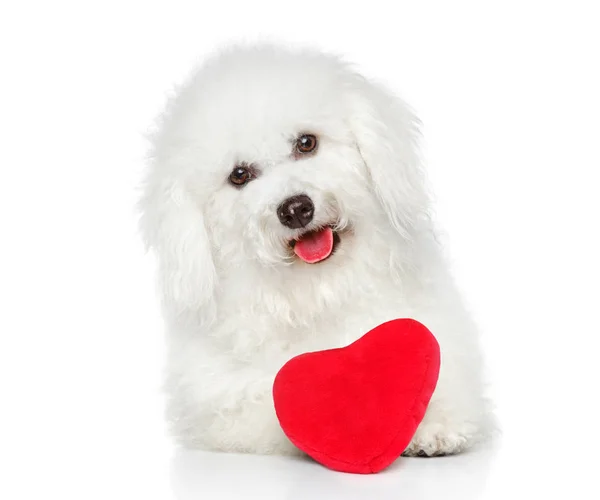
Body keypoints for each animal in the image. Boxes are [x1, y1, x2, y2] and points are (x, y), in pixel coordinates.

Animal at [139, 43, 492, 458]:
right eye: (239, 175)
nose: (295, 209)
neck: (318, 291)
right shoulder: (229, 404)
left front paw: (435, 426)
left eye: (306, 143)